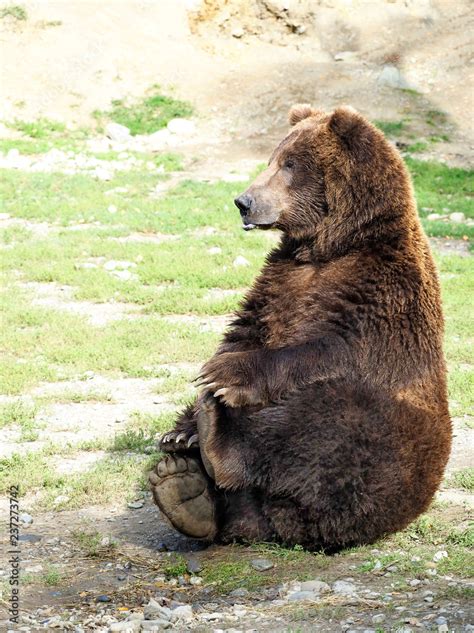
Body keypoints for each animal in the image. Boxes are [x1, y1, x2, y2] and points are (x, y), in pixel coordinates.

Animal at [148, 106, 452, 552]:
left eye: (289, 165)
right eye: (272, 158)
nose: (243, 202)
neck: (328, 244)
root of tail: (288, 521)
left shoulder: (379, 289)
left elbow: (329, 349)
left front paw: (220, 375)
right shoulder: (281, 278)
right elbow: (246, 327)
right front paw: (179, 430)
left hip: (397, 445)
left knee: (325, 424)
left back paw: (215, 439)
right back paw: (184, 483)